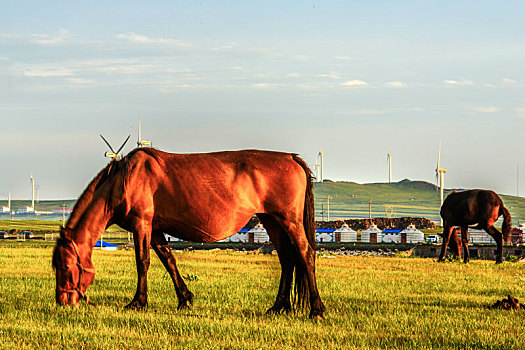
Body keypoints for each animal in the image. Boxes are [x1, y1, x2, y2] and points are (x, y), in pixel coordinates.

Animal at [52, 147, 324, 318]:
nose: (63, 301)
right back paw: (279, 306)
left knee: (305, 254)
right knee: (287, 260)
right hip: (272, 220)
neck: (123, 181)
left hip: (289, 220)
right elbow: (169, 261)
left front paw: (138, 302)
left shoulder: (143, 224)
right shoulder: (156, 230)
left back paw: (316, 309)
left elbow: (143, 262)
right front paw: (185, 298)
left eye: (66, 267)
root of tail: (291, 158)